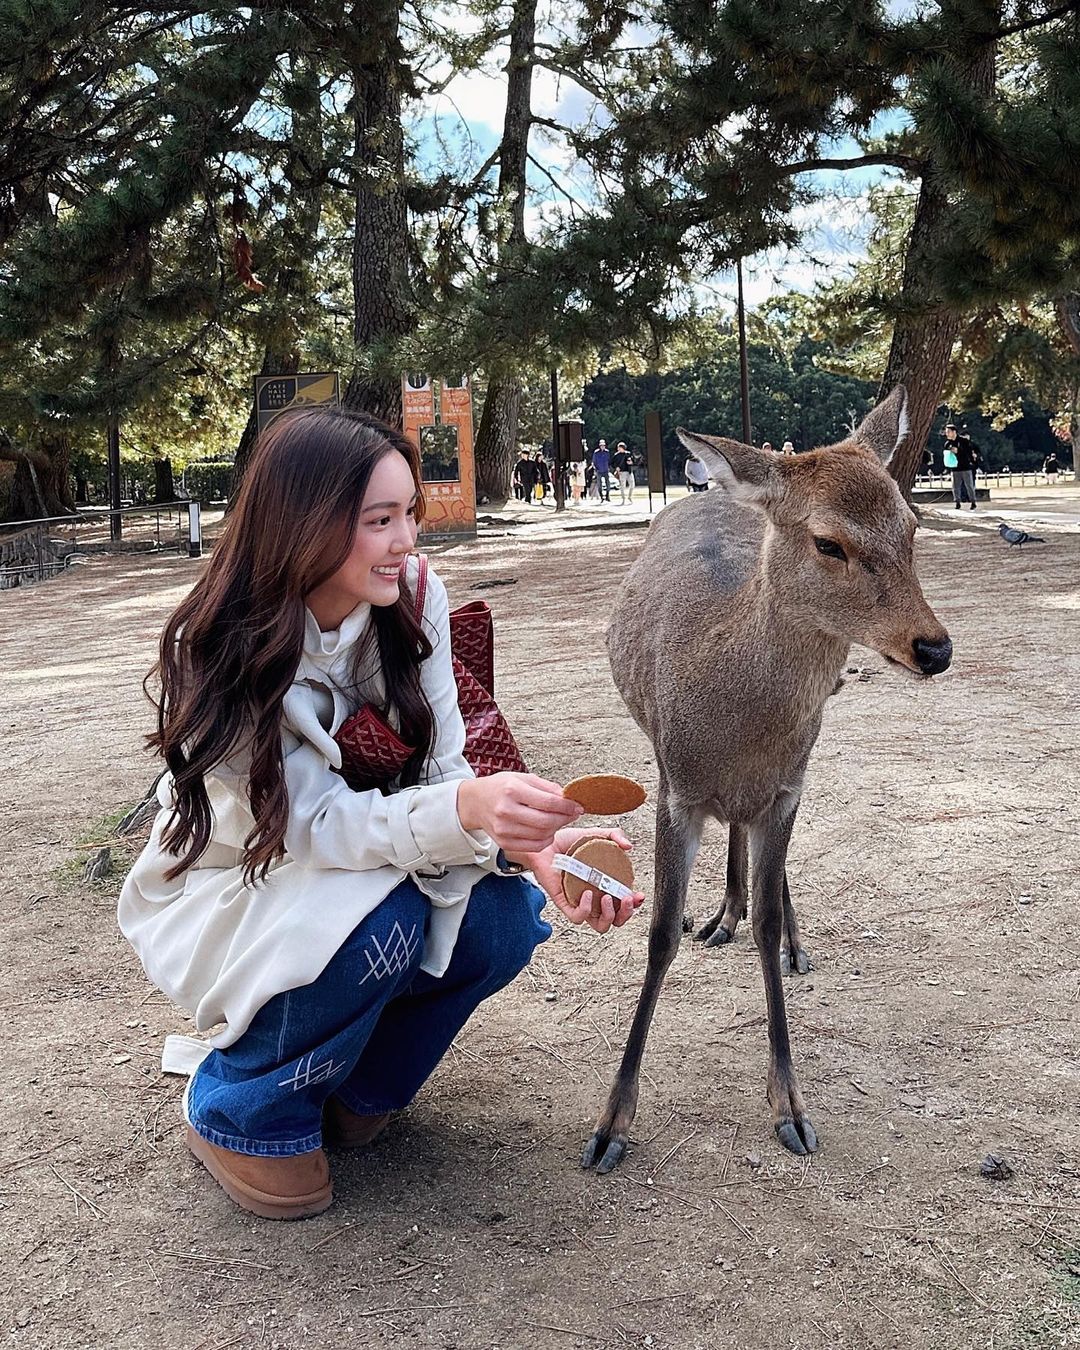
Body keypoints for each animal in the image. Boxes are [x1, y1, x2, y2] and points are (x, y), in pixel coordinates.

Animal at [583, 388, 955, 1171]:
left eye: (912, 524)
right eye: (829, 542)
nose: (934, 648)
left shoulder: (787, 790)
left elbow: (769, 914)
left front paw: (791, 1106)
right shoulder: (677, 789)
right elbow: (657, 936)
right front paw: (610, 1124)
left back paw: (771, 931)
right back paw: (719, 913)